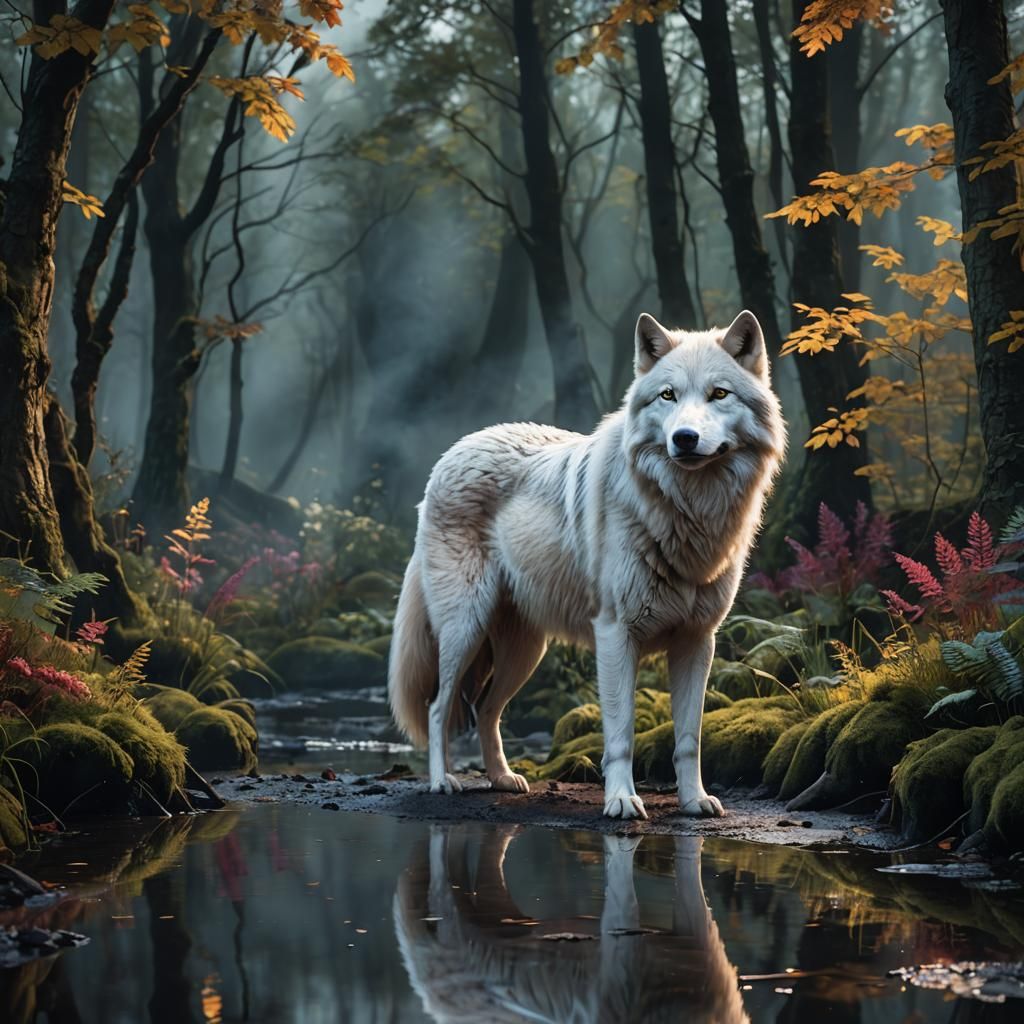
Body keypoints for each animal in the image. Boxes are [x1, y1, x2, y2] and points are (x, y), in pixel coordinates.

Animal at [388, 310, 785, 819]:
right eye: (668, 395)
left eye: (719, 394)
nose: (684, 438)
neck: (687, 511)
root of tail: (450, 453)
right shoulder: (615, 633)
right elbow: (620, 734)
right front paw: (621, 800)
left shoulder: (698, 641)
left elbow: (689, 737)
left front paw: (694, 800)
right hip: (465, 628)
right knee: (439, 706)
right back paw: (443, 782)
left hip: (524, 651)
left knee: (487, 710)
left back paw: (503, 779)